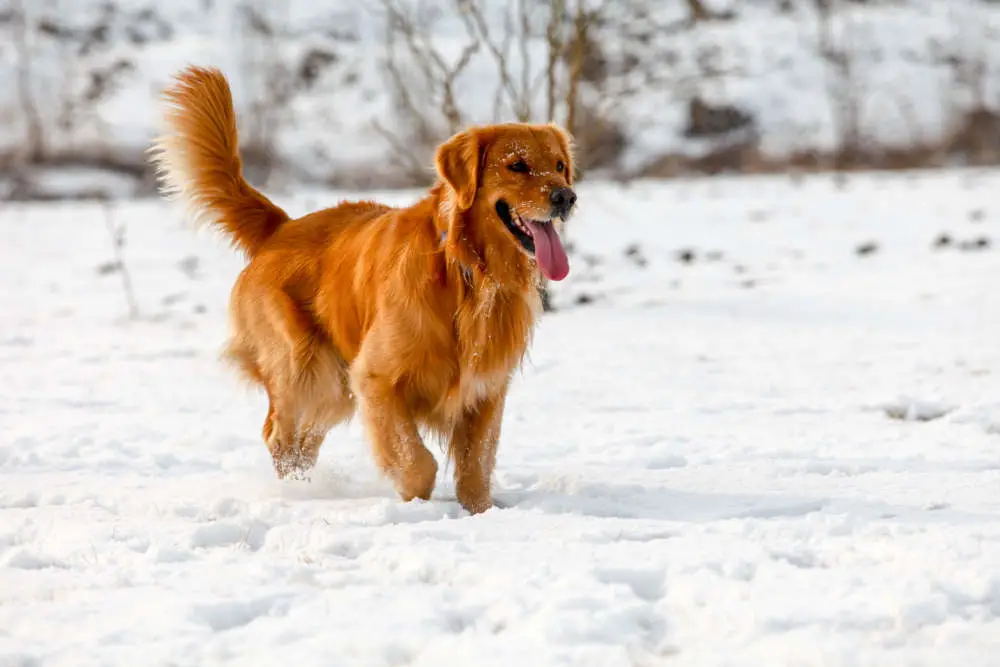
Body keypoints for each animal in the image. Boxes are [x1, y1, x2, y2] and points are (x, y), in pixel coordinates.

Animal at [148, 66, 580, 516]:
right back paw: (297, 493)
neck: (467, 273)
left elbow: (476, 464)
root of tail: (281, 227)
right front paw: (415, 501)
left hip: (335, 386)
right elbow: (415, 459)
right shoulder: (376, 376)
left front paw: (479, 511)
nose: (566, 197)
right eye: (517, 165)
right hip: (306, 365)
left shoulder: (485, 389)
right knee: (279, 436)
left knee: (303, 443)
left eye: (559, 165)